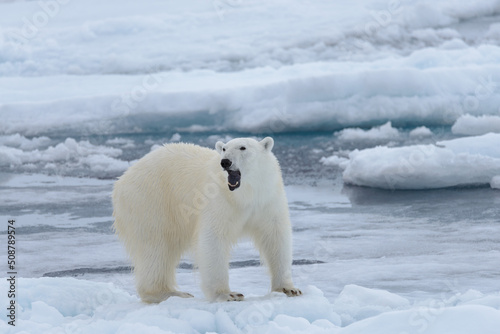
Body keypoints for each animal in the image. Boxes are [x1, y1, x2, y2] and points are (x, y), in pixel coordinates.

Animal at [112, 136, 300, 302]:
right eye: (224, 149)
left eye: (243, 147)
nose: (225, 162)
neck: (244, 195)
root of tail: (122, 179)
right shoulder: (218, 200)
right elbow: (213, 239)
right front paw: (228, 294)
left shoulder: (268, 200)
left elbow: (276, 236)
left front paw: (289, 289)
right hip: (150, 201)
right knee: (155, 247)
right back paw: (169, 293)